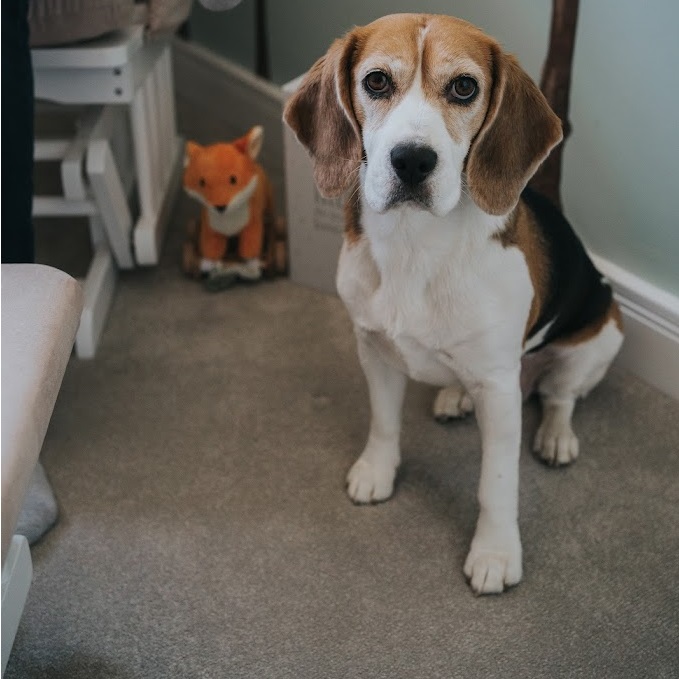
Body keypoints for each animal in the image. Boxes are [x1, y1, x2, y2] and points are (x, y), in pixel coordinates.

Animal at [284, 11, 624, 596]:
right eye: (377, 81)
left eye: (464, 87)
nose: (412, 160)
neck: (414, 243)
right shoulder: (373, 349)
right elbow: (383, 422)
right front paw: (376, 471)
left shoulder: (499, 391)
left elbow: (497, 483)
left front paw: (495, 553)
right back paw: (455, 397)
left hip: (601, 335)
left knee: (560, 395)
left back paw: (556, 437)